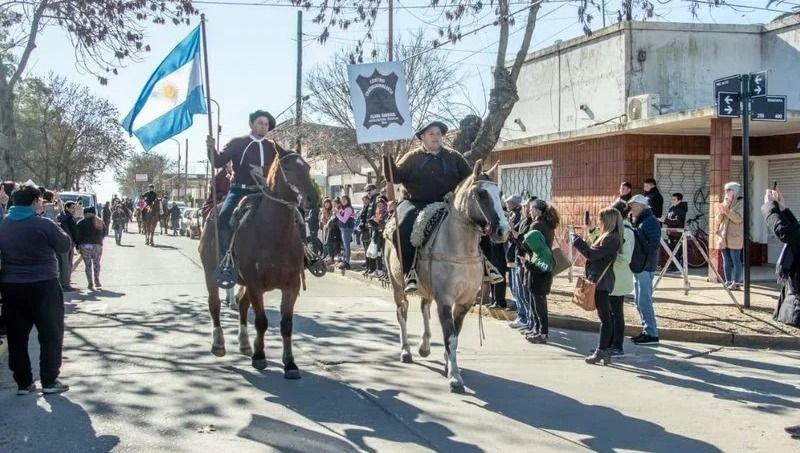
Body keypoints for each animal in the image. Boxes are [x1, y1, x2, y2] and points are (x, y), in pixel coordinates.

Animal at [199, 152, 318, 378]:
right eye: (287, 168)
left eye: (308, 167)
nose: (312, 199)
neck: (275, 232)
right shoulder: (255, 284)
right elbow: (262, 321)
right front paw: (260, 357)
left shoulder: (291, 286)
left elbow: (286, 325)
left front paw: (290, 363)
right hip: (211, 273)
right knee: (214, 304)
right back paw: (219, 343)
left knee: (241, 303)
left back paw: (245, 343)